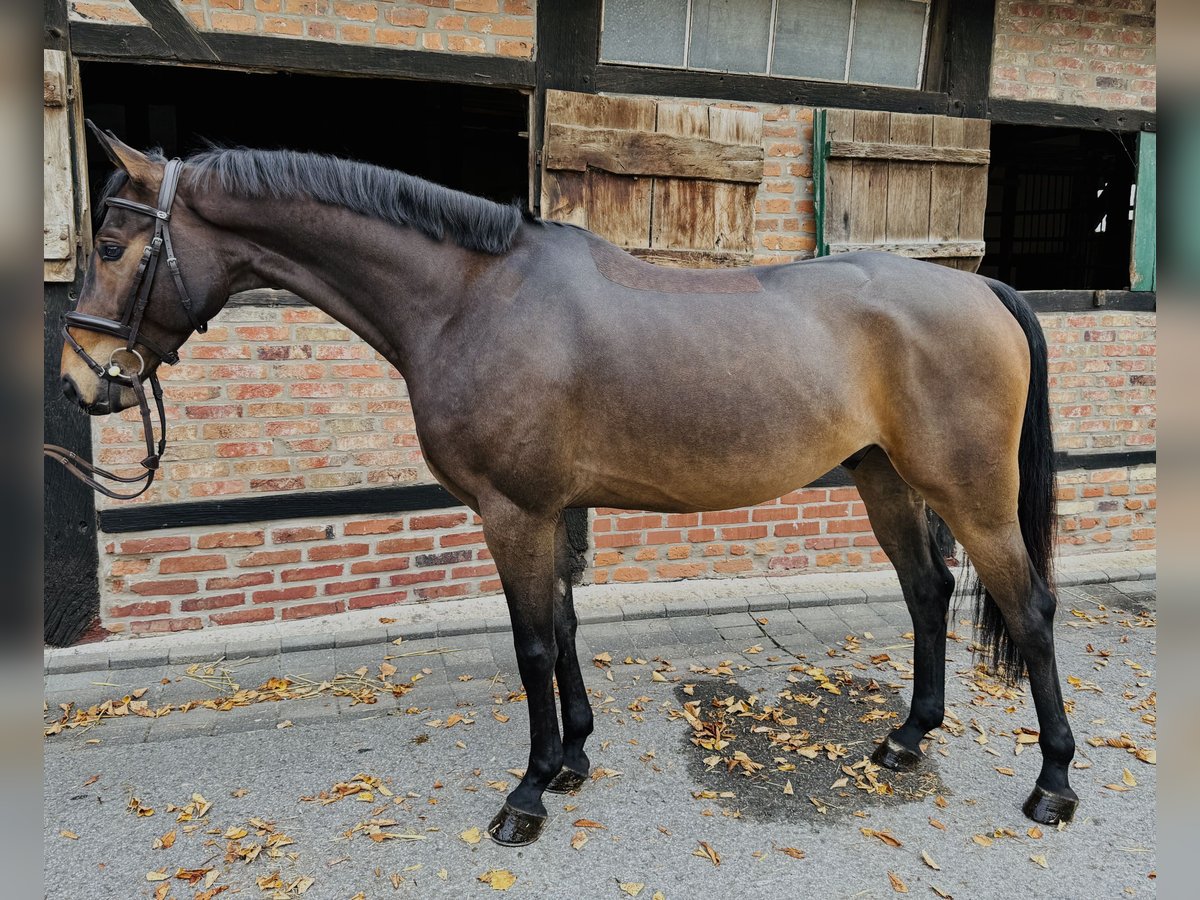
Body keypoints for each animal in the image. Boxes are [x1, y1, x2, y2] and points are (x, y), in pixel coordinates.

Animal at [52, 126, 1078, 845]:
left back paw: (1054, 785)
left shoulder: (513, 511)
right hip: (887, 481)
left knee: (1027, 610)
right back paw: (907, 738)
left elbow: (533, 643)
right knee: (928, 592)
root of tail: (982, 289)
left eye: (113, 244)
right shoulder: (554, 510)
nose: (79, 382)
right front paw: (577, 755)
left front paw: (530, 789)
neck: (472, 300)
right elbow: (567, 624)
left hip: (972, 495)